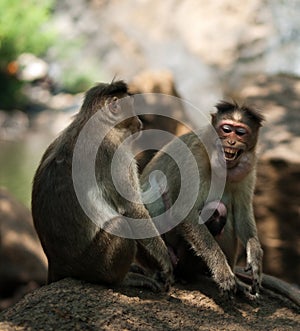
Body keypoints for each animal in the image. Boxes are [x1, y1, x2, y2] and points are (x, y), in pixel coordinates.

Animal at [31, 81, 173, 294]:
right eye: (132, 109)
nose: (140, 123)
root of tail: (56, 264)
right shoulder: (115, 151)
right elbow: (133, 209)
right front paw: (165, 263)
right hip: (92, 265)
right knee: (120, 223)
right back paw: (122, 280)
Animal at [141, 101, 264, 298]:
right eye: (226, 129)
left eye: (240, 132)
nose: (231, 141)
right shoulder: (194, 155)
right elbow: (185, 212)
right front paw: (222, 271)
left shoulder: (248, 167)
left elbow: (242, 214)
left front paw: (255, 256)